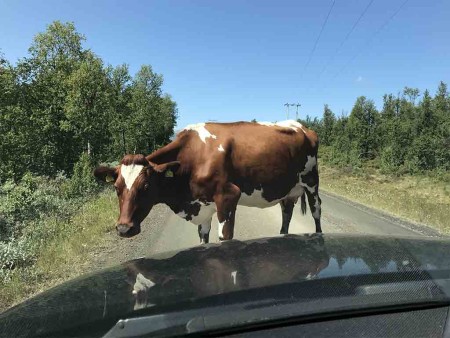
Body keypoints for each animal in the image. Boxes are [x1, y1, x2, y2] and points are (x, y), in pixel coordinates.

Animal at [93, 120, 322, 242]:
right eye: (116, 188)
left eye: (146, 186)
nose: (124, 228)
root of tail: (300, 126)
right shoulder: (201, 206)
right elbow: (203, 237)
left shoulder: (228, 195)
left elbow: (224, 236)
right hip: (288, 189)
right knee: (287, 212)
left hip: (311, 180)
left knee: (316, 210)